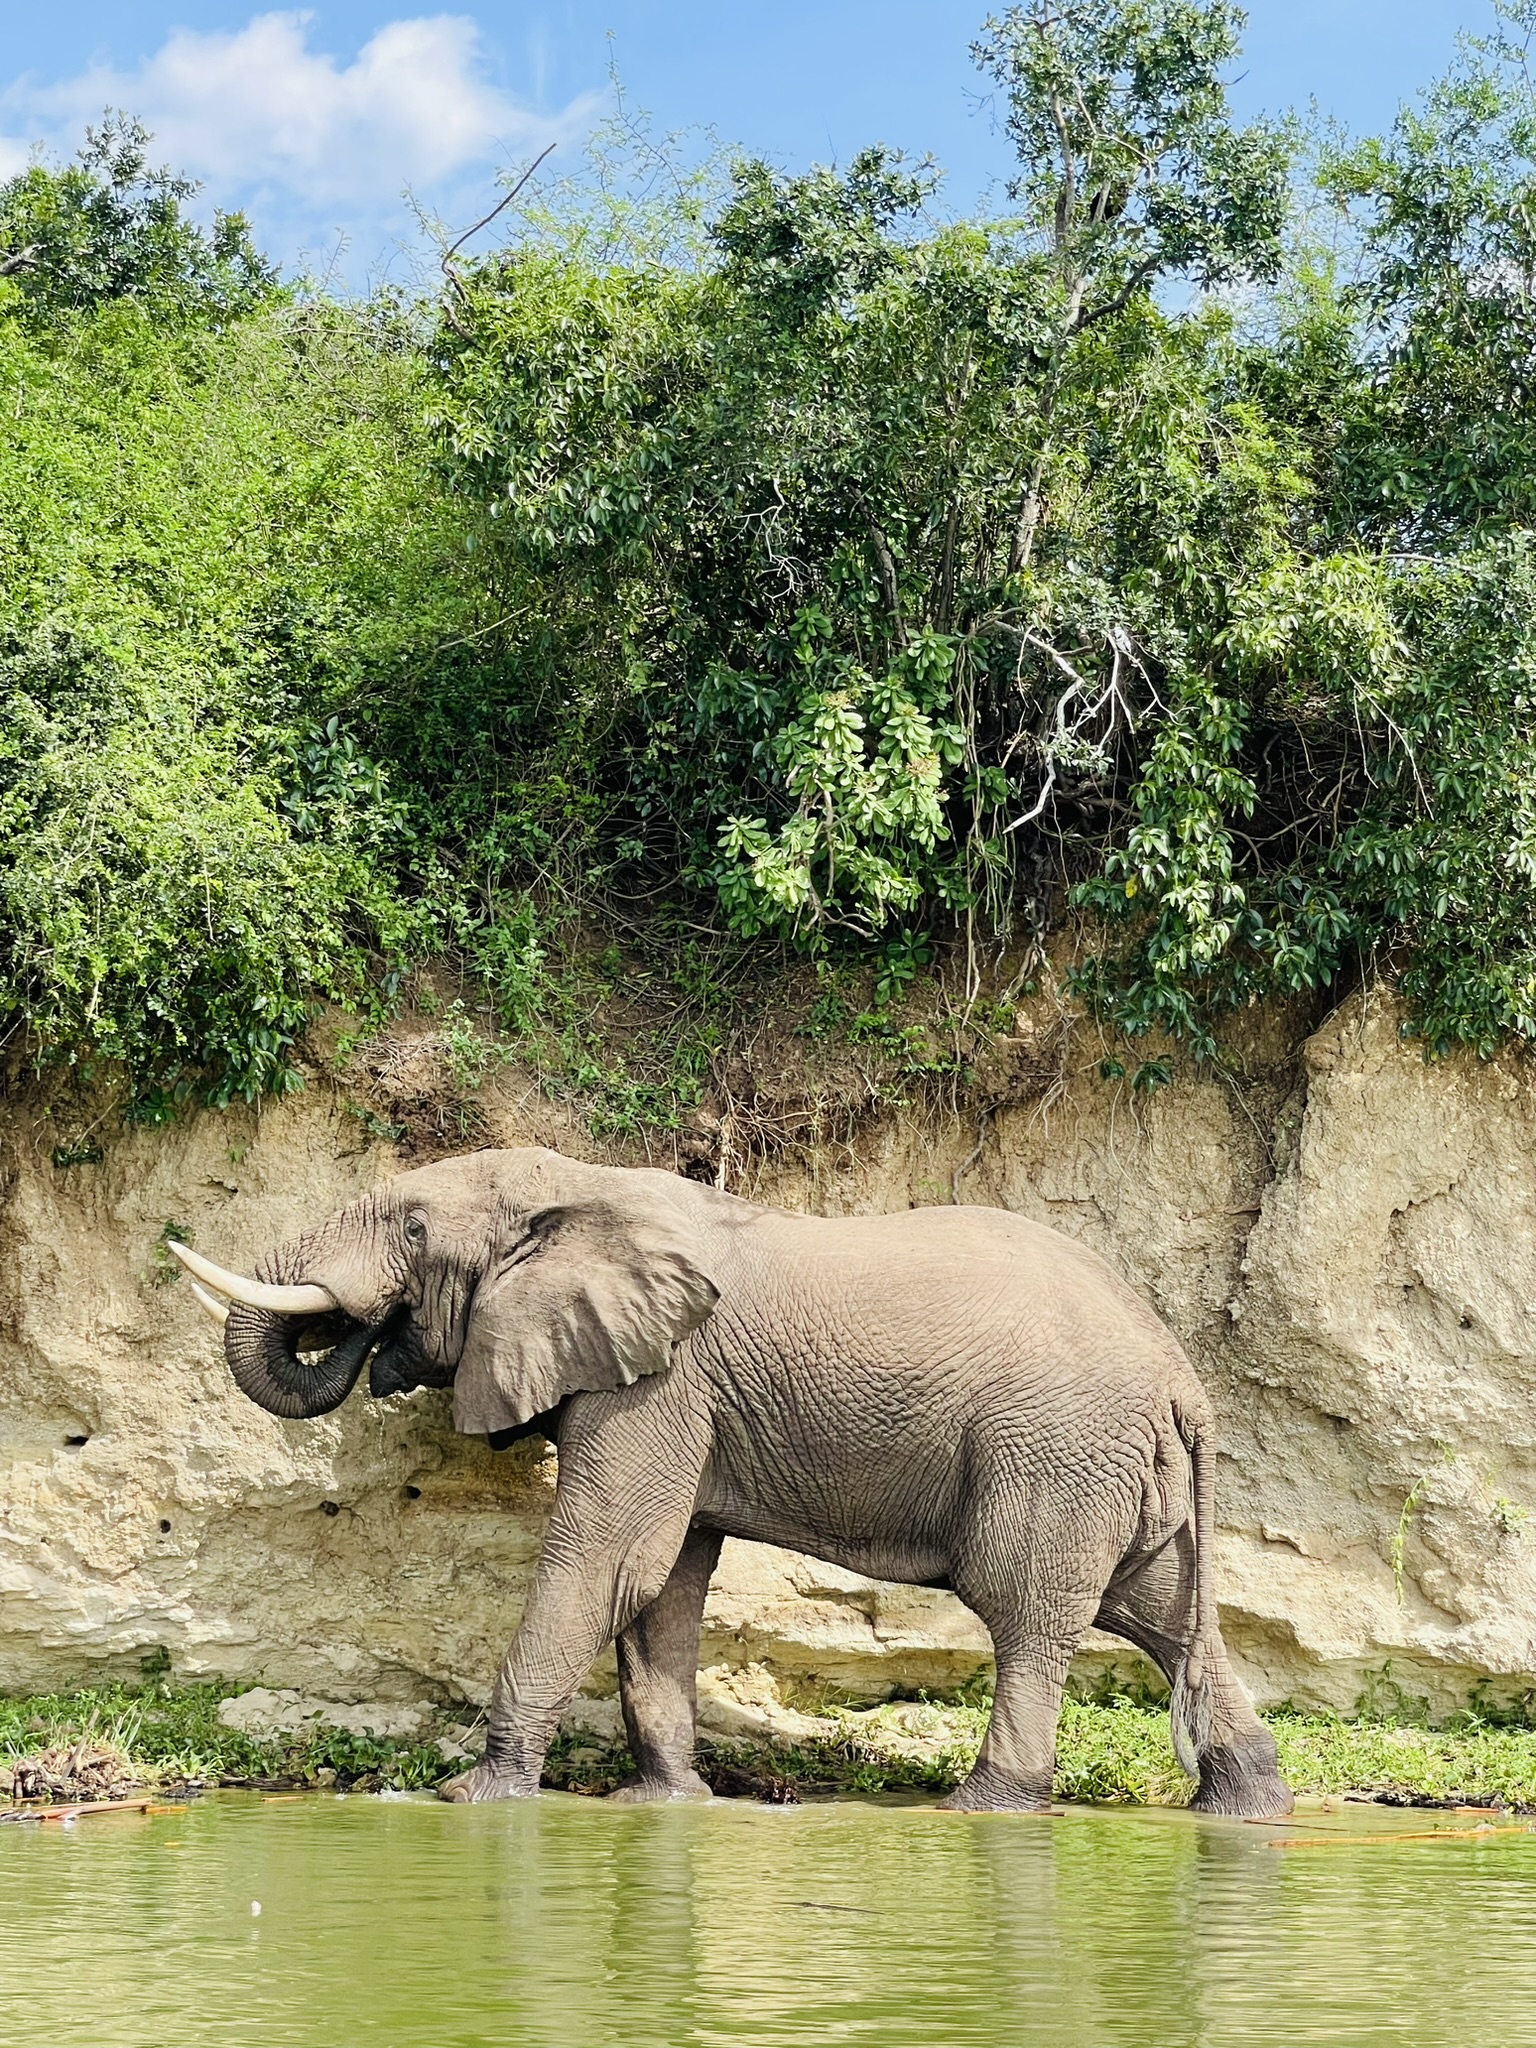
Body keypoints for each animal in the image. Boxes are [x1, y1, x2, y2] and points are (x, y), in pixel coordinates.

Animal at [172, 1147, 1291, 1819]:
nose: (369, 1340)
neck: (572, 1183)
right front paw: (665, 1809)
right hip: (1117, 1469)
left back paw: (981, 1810)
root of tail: (1184, 1380)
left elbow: (608, 1560)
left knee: (1027, 1609)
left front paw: (474, 1798)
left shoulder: (657, 1383)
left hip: (1054, 1451)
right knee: (1158, 1616)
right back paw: (1246, 1809)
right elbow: (663, 1583)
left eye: (411, 1230)